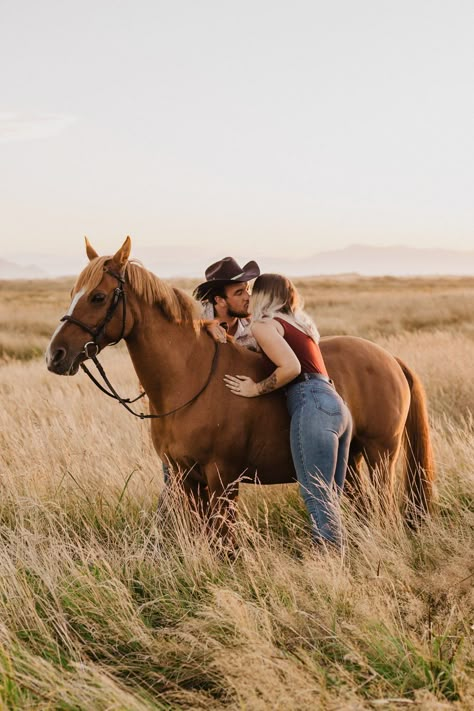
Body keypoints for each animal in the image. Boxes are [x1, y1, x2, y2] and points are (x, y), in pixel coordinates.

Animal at [46, 238, 436, 528]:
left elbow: (223, 542)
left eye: (98, 297)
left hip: (380, 456)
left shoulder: (222, 479)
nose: (55, 355)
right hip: (350, 461)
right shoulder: (185, 479)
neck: (189, 377)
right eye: (72, 293)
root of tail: (390, 359)